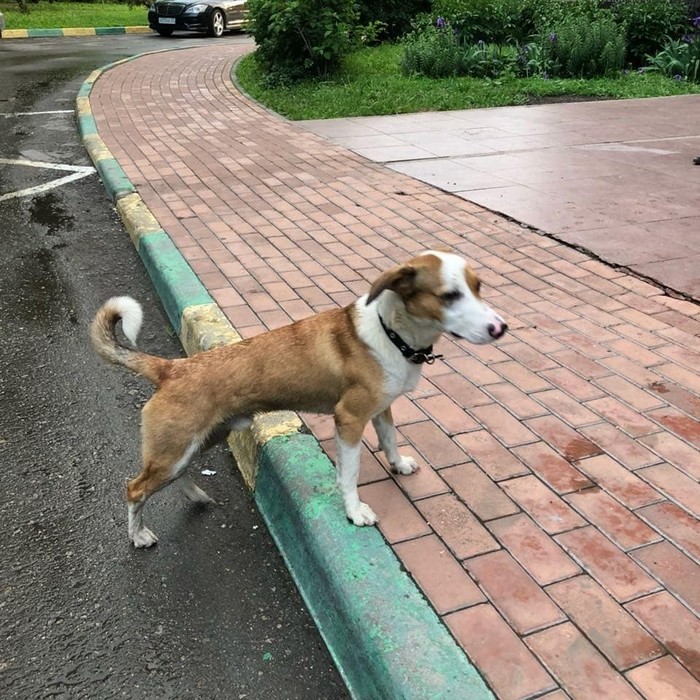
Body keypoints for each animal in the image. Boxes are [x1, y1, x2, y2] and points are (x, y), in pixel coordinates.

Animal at [94, 252, 508, 548]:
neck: (392, 333)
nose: (501, 328)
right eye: (449, 295)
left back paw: (196, 495)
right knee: (135, 488)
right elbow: (350, 474)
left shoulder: (382, 409)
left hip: (198, 442)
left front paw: (399, 464)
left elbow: (390, 439)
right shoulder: (350, 419)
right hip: (175, 449)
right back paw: (138, 535)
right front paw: (354, 512)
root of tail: (172, 367)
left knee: (174, 476)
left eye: (479, 287)